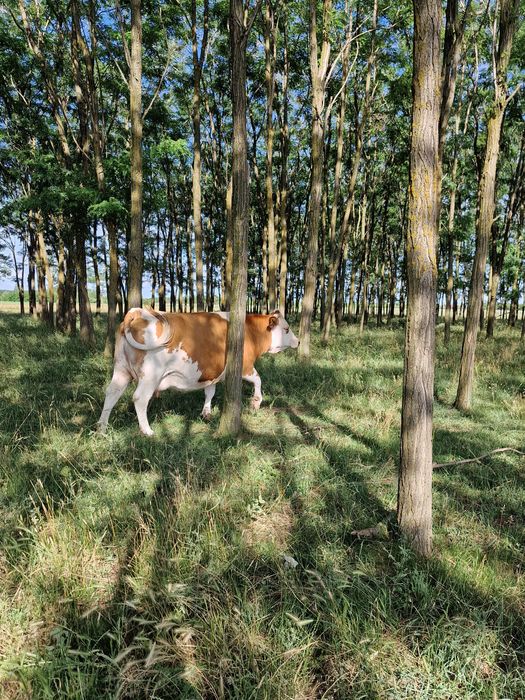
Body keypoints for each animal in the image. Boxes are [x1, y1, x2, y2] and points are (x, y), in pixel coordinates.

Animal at [97, 307, 299, 436]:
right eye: (286, 329)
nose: (297, 341)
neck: (249, 331)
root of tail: (138, 312)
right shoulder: (245, 366)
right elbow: (258, 379)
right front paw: (256, 402)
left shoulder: (211, 372)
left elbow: (210, 391)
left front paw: (206, 413)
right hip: (150, 376)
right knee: (139, 399)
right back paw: (147, 431)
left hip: (121, 370)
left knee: (112, 393)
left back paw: (101, 428)